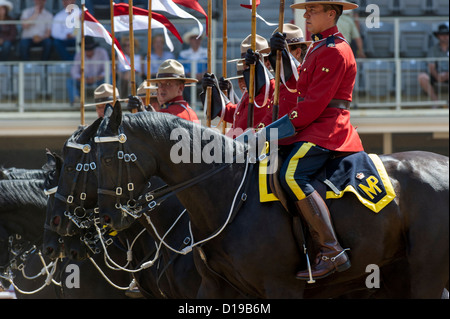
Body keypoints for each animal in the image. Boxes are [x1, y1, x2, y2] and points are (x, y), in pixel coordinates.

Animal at [93, 104, 448, 302]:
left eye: (106, 158)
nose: (104, 217)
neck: (229, 192)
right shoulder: (214, 288)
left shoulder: (281, 287)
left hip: (427, 273)